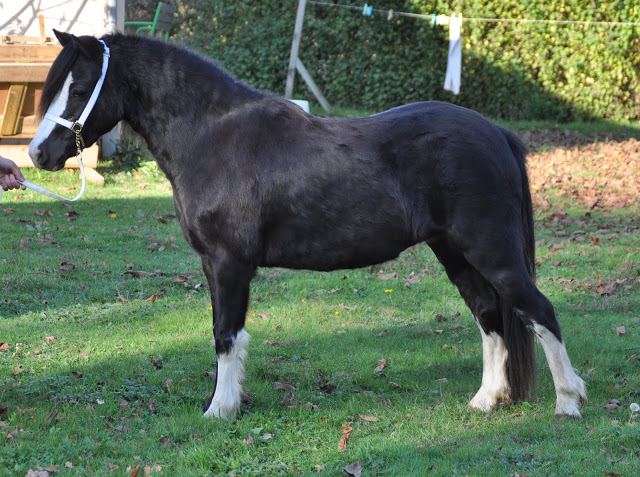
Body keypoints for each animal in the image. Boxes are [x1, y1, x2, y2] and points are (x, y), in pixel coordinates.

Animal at [31, 32, 592, 416]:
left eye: (78, 87)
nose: (38, 154)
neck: (212, 136)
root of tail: (496, 133)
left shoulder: (229, 264)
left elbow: (226, 335)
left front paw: (220, 411)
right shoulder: (215, 267)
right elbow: (223, 334)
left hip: (491, 252)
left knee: (538, 311)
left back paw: (568, 402)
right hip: (454, 254)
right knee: (489, 316)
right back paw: (485, 401)